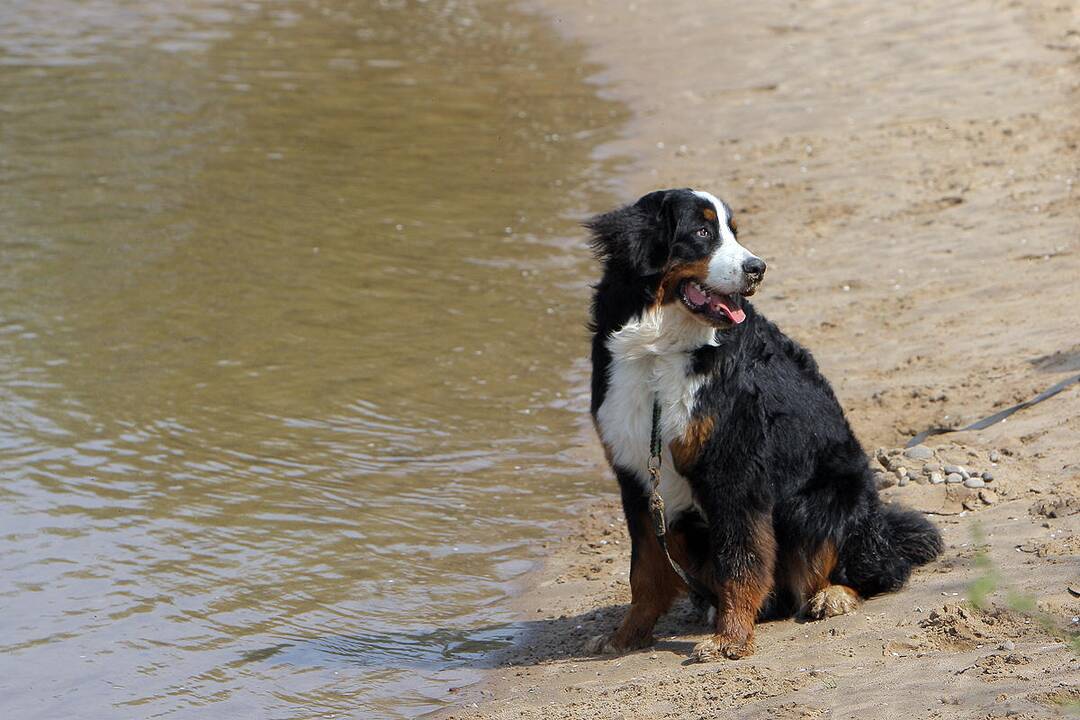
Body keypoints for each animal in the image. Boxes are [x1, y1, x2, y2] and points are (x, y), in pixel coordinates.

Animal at [578, 188, 941, 660]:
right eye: (702, 232)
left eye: (733, 231)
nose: (758, 268)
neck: (660, 351)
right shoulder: (636, 476)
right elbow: (645, 573)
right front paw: (625, 637)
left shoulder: (735, 469)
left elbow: (741, 558)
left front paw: (730, 639)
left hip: (826, 498)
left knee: (878, 568)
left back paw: (833, 595)